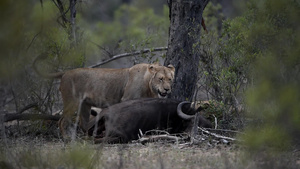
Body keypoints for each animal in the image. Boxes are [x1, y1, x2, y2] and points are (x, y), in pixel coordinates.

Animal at [33, 55, 175, 140]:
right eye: (160, 79)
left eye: (170, 79)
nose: (167, 89)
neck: (149, 85)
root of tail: (66, 72)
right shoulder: (127, 99)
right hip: (72, 102)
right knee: (62, 121)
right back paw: (67, 139)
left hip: (85, 105)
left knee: (84, 124)